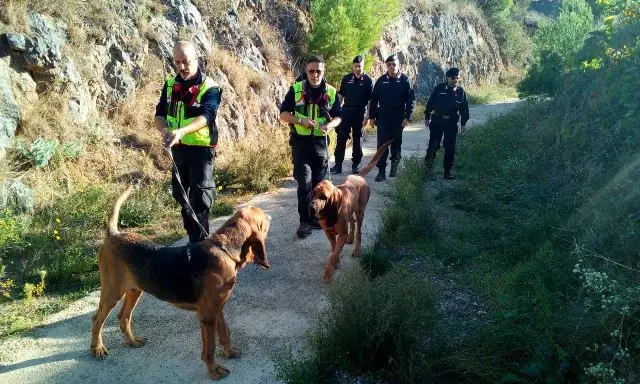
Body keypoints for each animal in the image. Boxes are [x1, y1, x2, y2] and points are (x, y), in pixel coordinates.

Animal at [90, 184, 270, 380]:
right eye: (262, 218)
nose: (270, 217)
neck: (225, 250)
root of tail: (113, 235)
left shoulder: (218, 309)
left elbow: (225, 333)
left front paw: (229, 352)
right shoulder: (207, 316)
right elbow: (209, 348)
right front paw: (214, 370)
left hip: (135, 290)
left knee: (123, 316)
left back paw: (132, 341)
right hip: (112, 292)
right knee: (97, 319)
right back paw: (97, 348)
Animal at [312, 140, 392, 282]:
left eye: (324, 197)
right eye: (313, 194)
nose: (312, 207)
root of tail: (359, 176)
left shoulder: (341, 234)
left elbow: (333, 254)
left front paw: (329, 273)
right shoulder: (329, 233)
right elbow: (334, 249)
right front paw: (336, 263)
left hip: (360, 211)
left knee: (359, 231)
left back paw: (357, 250)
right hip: (351, 211)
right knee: (352, 222)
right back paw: (351, 238)